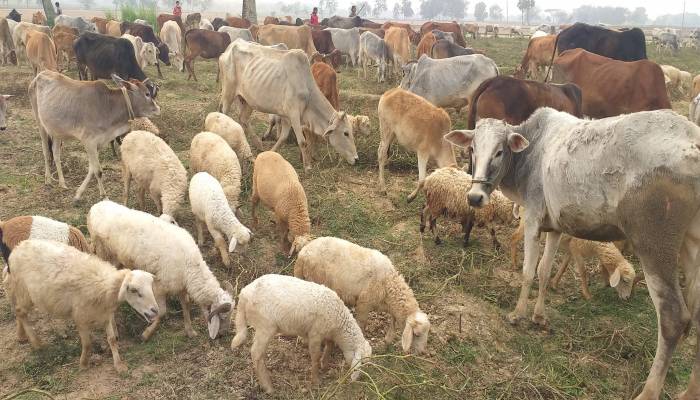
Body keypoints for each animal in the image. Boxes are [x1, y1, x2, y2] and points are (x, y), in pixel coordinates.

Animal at [29, 71, 160, 201]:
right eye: (147, 94)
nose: (158, 109)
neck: (108, 107)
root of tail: (40, 74)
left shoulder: (98, 143)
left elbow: (92, 169)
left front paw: (78, 194)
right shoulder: (89, 141)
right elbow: (98, 171)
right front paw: (105, 198)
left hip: (56, 130)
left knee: (56, 153)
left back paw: (62, 183)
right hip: (40, 124)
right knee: (46, 152)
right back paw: (48, 179)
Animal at [219, 40, 358, 171]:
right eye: (346, 133)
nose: (356, 158)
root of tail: (229, 48)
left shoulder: (286, 116)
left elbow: (283, 138)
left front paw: (271, 152)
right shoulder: (294, 114)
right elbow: (302, 142)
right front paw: (307, 166)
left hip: (247, 101)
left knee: (243, 119)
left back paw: (258, 145)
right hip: (228, 93)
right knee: (224, 114)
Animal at [444, 107, 700, 400]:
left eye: (499, 151)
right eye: (472, 148)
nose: (475, 197)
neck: (530, 155)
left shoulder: (533, 218)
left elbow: (528, 271)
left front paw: (518, 314)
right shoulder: (554, 227)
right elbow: (544, 272)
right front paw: (539, 316)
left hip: (654, 246)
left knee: (673, 317)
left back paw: (648, 392)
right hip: (692, 244)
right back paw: (690, 390)